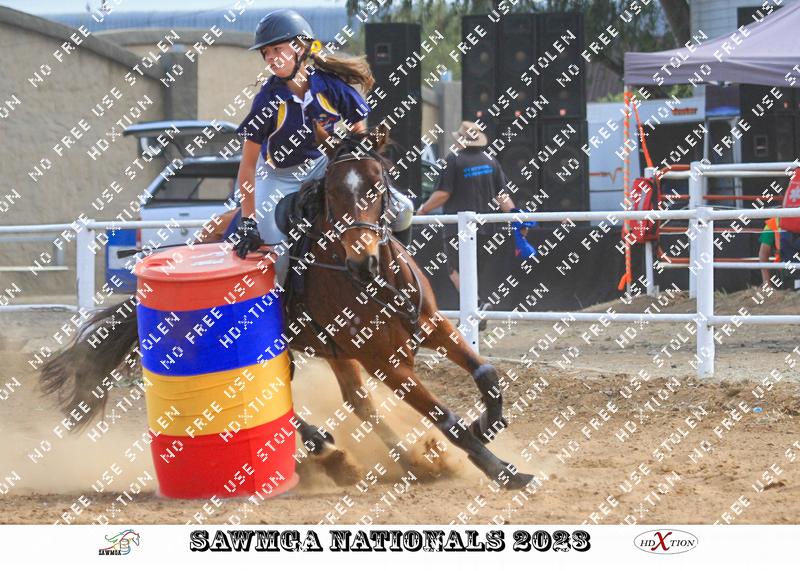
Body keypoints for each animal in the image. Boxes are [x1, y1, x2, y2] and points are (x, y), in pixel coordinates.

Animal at [40, 123, 536, 490]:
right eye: (332, 193)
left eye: (377, 187)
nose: (362, 259)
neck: (372, 281)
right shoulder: (386, 363)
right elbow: (445, 417)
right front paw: (504, 471)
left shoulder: (431, 326)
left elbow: (486, 372)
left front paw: (487, 424)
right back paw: (329, 451)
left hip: (338, 353)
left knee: (358, 404)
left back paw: (405, 461)